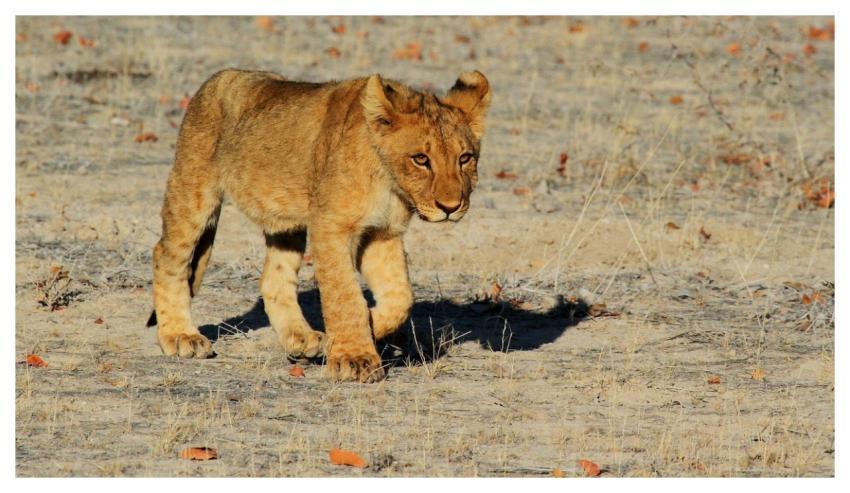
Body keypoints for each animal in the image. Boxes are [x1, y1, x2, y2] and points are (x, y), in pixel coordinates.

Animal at [148, 68, 490, 382]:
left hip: (286, 223)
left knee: (274, 278)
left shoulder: (382, 233)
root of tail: (216, 78)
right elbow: (344, 294)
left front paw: (366, 327)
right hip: (193, 191)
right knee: (167, 255)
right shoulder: (331, 226)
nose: (451, 207)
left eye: (465, 158)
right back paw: (180, 336)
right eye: (421, 159)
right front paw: (355, 358)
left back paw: (301, 339)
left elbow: (400, 297)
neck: (389, 183)